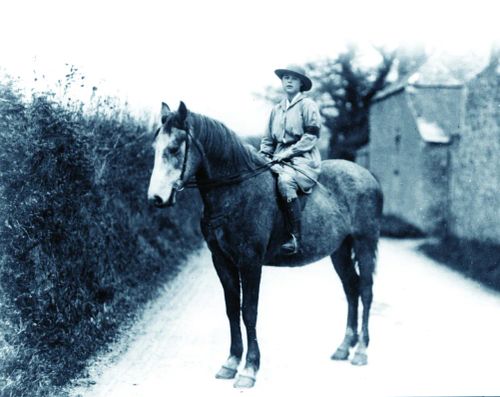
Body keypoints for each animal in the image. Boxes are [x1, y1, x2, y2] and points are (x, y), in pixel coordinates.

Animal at [147, 100, 382, 386]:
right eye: (155, 148)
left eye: (173, 148)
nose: (156, 198)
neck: (235, 192)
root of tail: (366, 175)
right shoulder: (222, 261)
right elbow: (231, 309)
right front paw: (231, 363)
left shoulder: (250, 262)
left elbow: (249, 311)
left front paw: (249, 369)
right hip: (340, 250)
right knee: (351, 289)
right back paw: (345, 346)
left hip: (364, 243)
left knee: (366, 291)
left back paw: (361, 350)